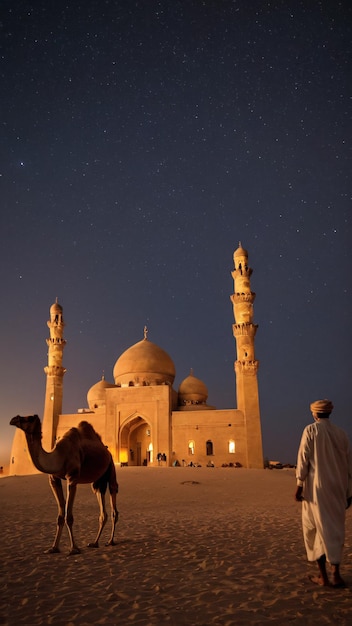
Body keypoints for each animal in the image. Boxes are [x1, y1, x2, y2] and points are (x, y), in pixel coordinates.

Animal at [9, 412, 119, 552]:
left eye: (29, 418)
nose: (14, 419)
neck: (60, 456)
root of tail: (107, 451)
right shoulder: (53, 479)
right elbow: (60, 516)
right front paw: (53, 548)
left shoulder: (72, 478)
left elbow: (69, 516)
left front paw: (74, 549)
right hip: (98, 480)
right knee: (100, 502)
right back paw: (95, 543)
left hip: (111, 465)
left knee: (113, 495)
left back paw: (110, 541)